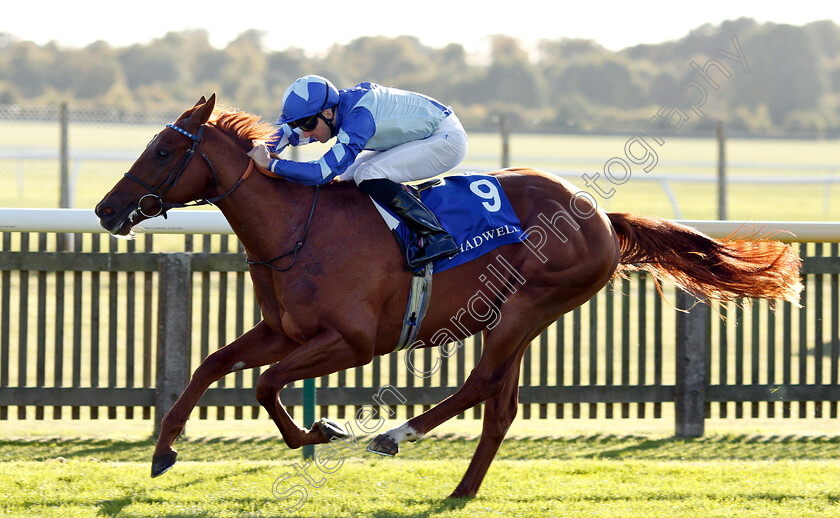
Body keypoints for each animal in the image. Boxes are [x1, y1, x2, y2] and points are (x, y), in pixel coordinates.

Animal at [93, 96, 800, 500]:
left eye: (163, 150)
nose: (104, 210)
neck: (299, 226)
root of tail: (601, 215)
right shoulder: (285, 331)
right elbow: (214, 363)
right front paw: (164, 449)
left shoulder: (352, 342)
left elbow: (266, 384)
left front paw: (321, 429)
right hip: (515, 316)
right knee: (500, 405)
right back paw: (462, 489)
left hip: (527, 307)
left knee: (481, 384)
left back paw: (394, 436)